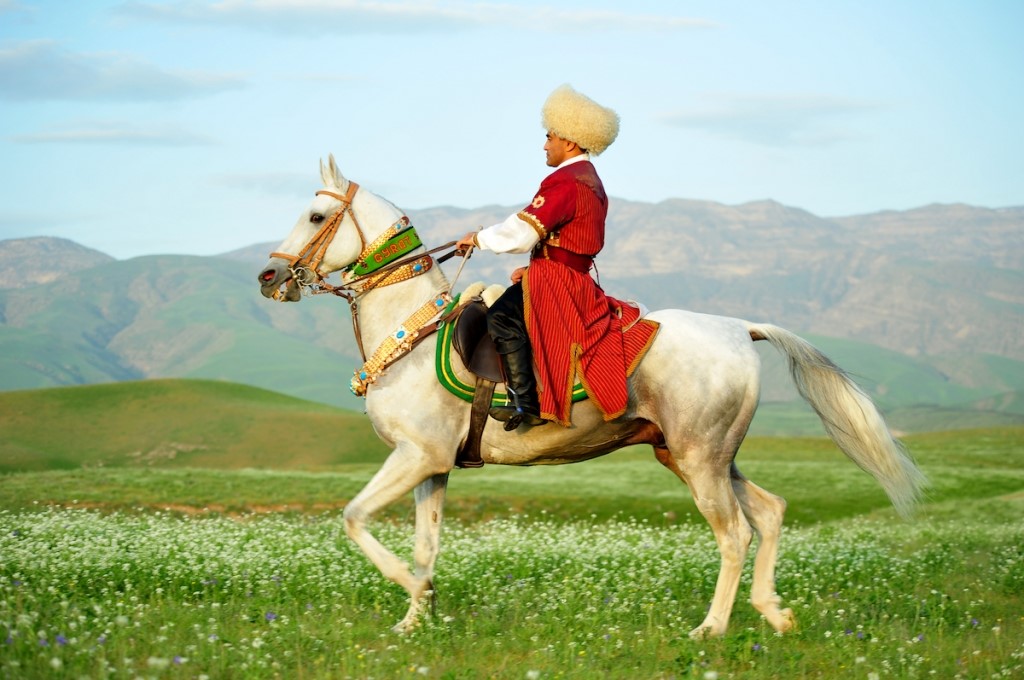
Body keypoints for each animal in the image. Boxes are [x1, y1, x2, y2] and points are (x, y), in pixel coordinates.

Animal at [258, 155, 929, 639]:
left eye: (315, 216)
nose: (269, 277)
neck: (412, 334)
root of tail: (742, 328)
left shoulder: (415, 456)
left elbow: (355, 517)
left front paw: (408, 592)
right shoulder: (434, 466)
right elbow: (427, 546)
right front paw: (412, 621)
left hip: (700, 460)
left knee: (734, 534)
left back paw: (710, 629)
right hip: (700, 455)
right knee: (769, 511)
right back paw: (774, 613)